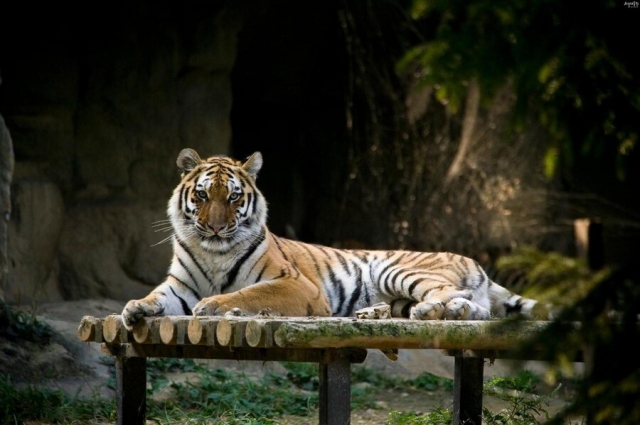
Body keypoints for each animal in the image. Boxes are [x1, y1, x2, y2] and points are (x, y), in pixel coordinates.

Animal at [121, 147, 552, 330]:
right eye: (202, 195)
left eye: (233, 197)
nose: (213, 228)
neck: (213, 252)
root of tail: (474, 260)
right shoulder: (180, 286)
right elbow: (157, 297)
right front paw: (134, 309)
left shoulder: (297, 284)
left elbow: (250, 292)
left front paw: (215, 306)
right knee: (477, 310)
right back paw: (382, 313)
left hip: (397, 270)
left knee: (454, 297)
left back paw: (427, 312)